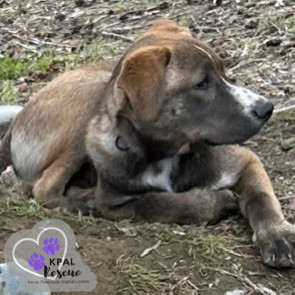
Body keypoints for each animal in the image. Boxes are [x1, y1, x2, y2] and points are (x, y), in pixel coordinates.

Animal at [1, 17, 294, 268]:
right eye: (201, 83)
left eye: (225, 73)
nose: (266, 108)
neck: (163, 155)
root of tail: (16, 122)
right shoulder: (114, 202)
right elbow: (154, 202)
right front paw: (212, 201)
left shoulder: (245, 161)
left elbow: (261, 197)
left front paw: (278, 235)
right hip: (84, 112)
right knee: (41, 188)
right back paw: (81, 201)